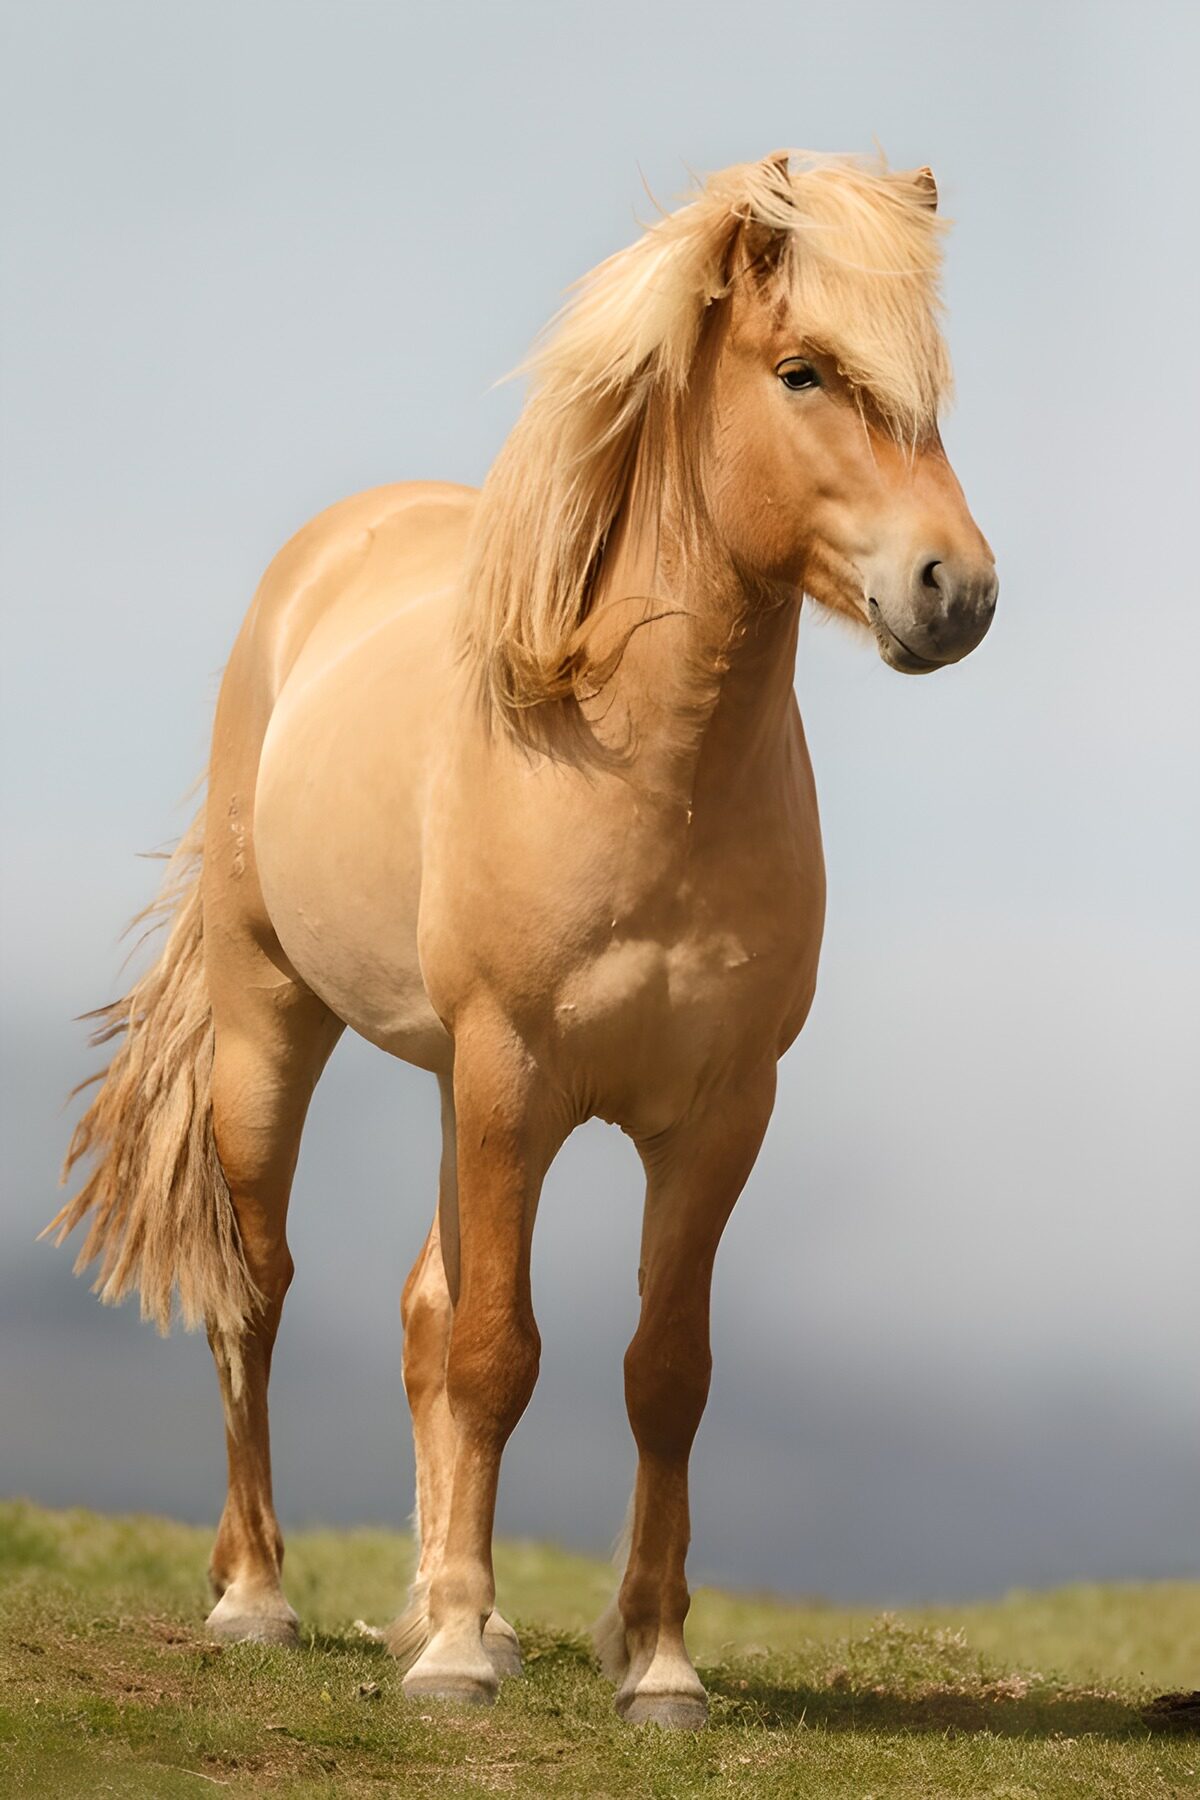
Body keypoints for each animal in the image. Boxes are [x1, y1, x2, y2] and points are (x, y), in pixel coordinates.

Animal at [47, 149, 997, 1729]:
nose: (957, 591)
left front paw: (653, 1663)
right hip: (281, 1030)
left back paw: (468, 1610)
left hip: (453, 1089)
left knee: (424, 1311)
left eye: (934, 393)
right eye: (804, 370)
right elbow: (498, 1352)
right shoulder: (514, 1076)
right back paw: (265, 1600)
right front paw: (445, 1663)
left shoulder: (719, 1112)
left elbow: (661, 1370)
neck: (646, 769)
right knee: (264, 1291)